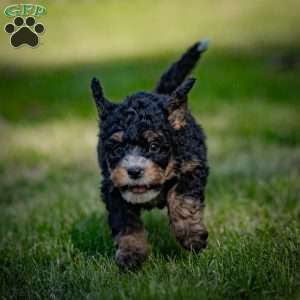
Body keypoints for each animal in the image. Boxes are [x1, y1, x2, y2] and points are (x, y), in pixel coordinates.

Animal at [90, 39, 210, 270]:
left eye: (154, 146)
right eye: (117, 149)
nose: (134, 171)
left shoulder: (191, 168)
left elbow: (183, 202)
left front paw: (191, 237)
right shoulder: (113, 188)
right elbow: (127, 224)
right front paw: (131, 254)